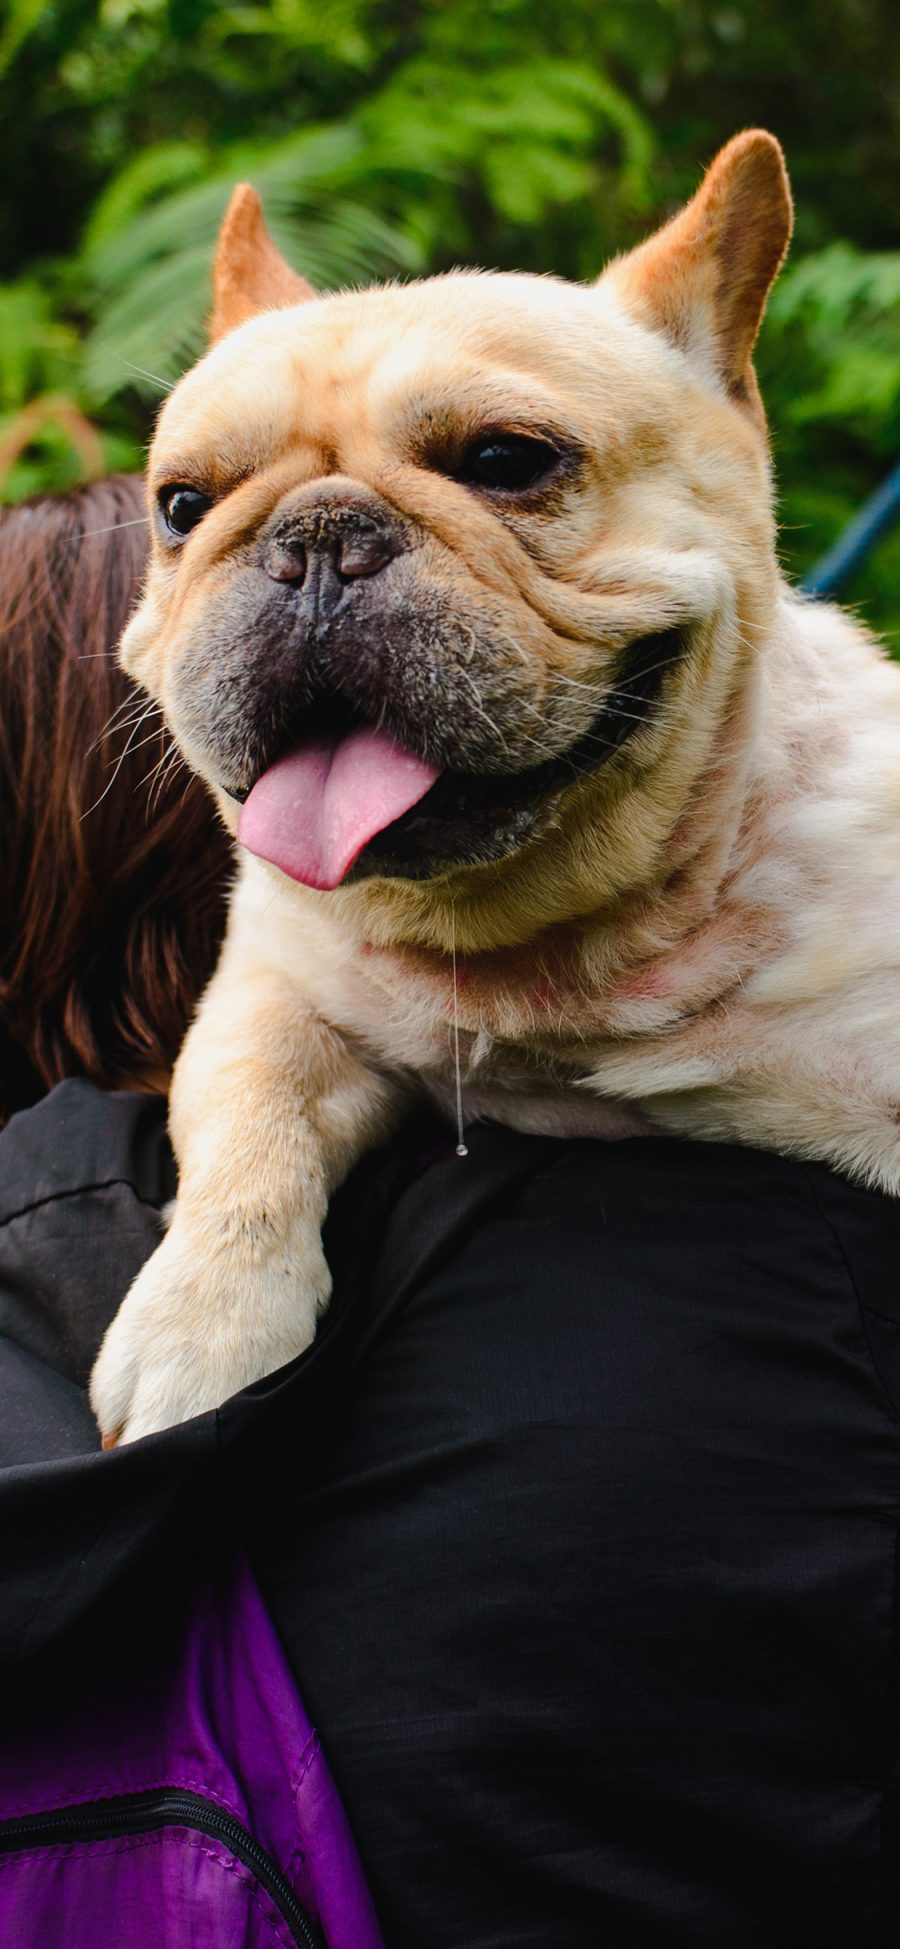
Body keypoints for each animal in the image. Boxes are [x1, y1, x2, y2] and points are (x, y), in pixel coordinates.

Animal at [89, 133, 900, 1450]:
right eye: (182, 506)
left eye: (507, 461)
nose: (316, 535)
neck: (548, 950)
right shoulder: (273, 986)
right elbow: (245, 1121)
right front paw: (199, 1327)